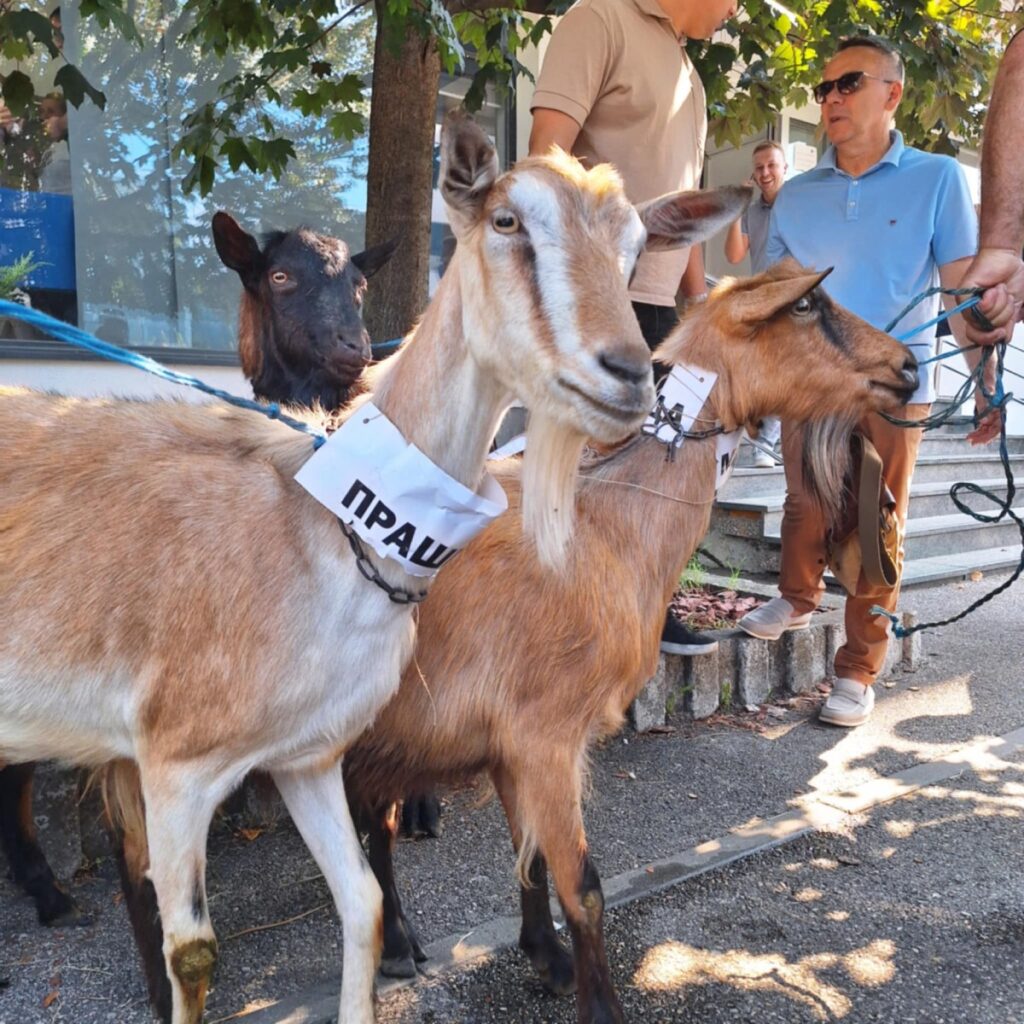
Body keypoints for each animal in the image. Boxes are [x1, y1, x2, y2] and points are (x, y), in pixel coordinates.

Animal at [0, 112, 737, 1024]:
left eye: (636, 247)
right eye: (506, 221)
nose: (631, 375)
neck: (329, 518)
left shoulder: (308, 751)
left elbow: (364, 905)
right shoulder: (176, 760)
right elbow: (193, 954)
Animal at [339, 262, 925, 1024]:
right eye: (806, 305)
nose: (909, 366)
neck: (603, 526)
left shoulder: (513, 741)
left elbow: (532, 855)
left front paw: (547, 957)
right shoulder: (543, 732)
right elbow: (584, 885)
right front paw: (598, 1001)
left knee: (373, 823)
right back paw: (399, 946)